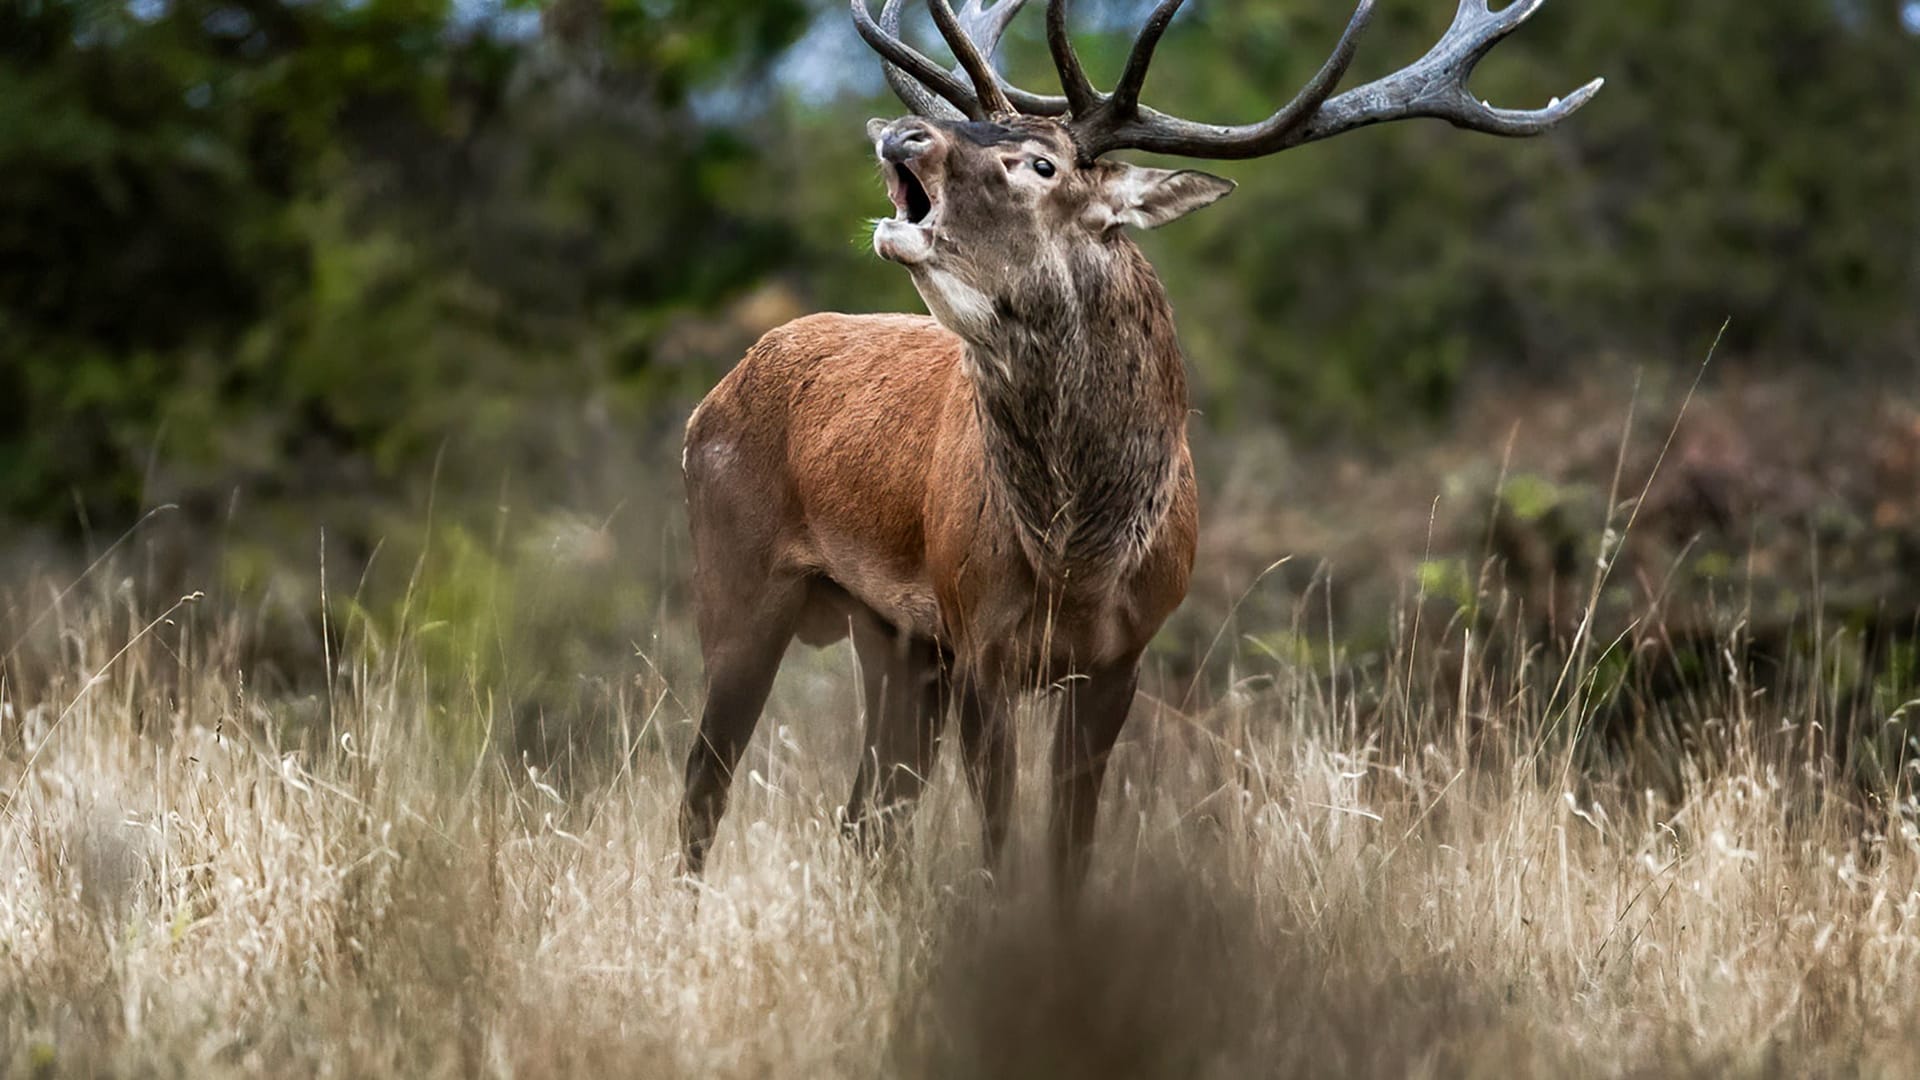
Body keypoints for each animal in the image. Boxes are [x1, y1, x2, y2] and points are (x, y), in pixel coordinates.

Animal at [679, 0, 1599, 888]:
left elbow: (1069, 848)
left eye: (1041, 164)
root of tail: (713, 398)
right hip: (740, 583)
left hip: (892, 637)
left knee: (863, 817)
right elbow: (1000, 845)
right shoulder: (980, 641)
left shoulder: (1120, 658)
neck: (1076, 560)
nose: (902, 132)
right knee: (704, 790)